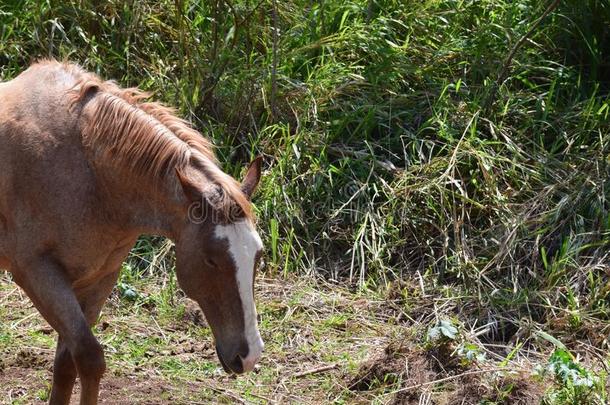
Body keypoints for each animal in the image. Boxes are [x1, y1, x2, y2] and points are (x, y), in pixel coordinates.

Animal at [0, 60, 264, 404]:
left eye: (257, 255)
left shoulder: (98, 279)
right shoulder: (36, 272)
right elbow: (90, 357)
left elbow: (67, 365)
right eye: (211, 258)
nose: (249, 355)